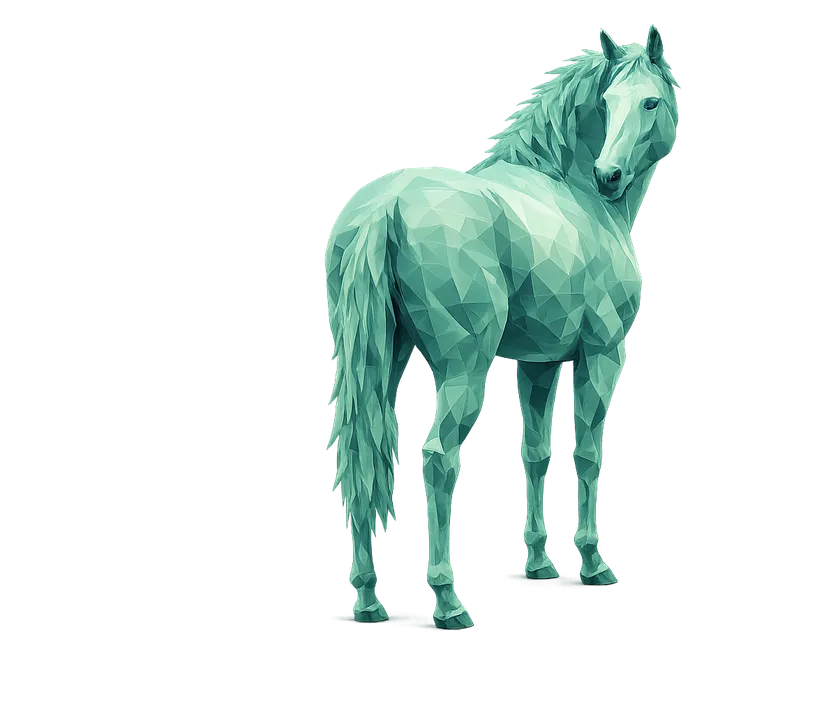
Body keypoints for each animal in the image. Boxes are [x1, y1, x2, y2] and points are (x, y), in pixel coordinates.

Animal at [322, 25, 681, 629]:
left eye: (649, 101)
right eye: (608, 102)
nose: (608, 176)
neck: (576, 196)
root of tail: (384, 207)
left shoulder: (538, 365)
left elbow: (534, 454)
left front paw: (538, 564)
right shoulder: (601, 356)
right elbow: (588, 452)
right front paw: (592, 563)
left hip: (380, 365)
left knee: (364, 456)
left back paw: (368, 599)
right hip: (464, 370)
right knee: (438, 459)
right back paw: (447, 599)